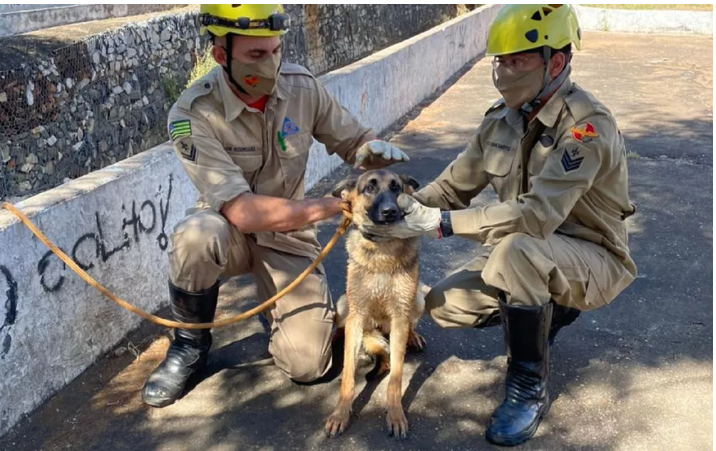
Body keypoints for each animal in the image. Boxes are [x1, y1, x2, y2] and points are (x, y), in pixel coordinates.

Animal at [328, 168, 428, 440]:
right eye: (370, 188)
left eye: (396, 188)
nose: (389, 211)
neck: (383, 248)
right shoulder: (356, 315)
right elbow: (348, 376)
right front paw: (340, 414)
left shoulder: (400, 314)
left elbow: (396, 378)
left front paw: (395, 416)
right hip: (345, 305)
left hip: (418, 299)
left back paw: (413, 337)